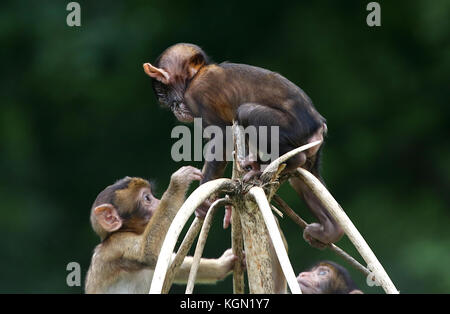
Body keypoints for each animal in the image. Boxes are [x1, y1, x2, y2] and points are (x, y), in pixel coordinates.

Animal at [85, 167, 239, 294]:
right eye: (147, 198)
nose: (159, 202)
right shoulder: (117, 243)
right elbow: (147, 252)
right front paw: (177, 183)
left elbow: (171, 265)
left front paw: (222, 265)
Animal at [142, 43, 342, 249]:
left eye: (162, 93)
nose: (173, 108)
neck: (195, 75)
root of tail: (318, 126)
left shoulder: (197, 94)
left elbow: (221, 138)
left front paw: (204, 202)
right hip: (311, 149)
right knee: (304, 179)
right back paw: (330, 230)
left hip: (293, 128)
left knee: (246, 112)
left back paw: (279, 164)